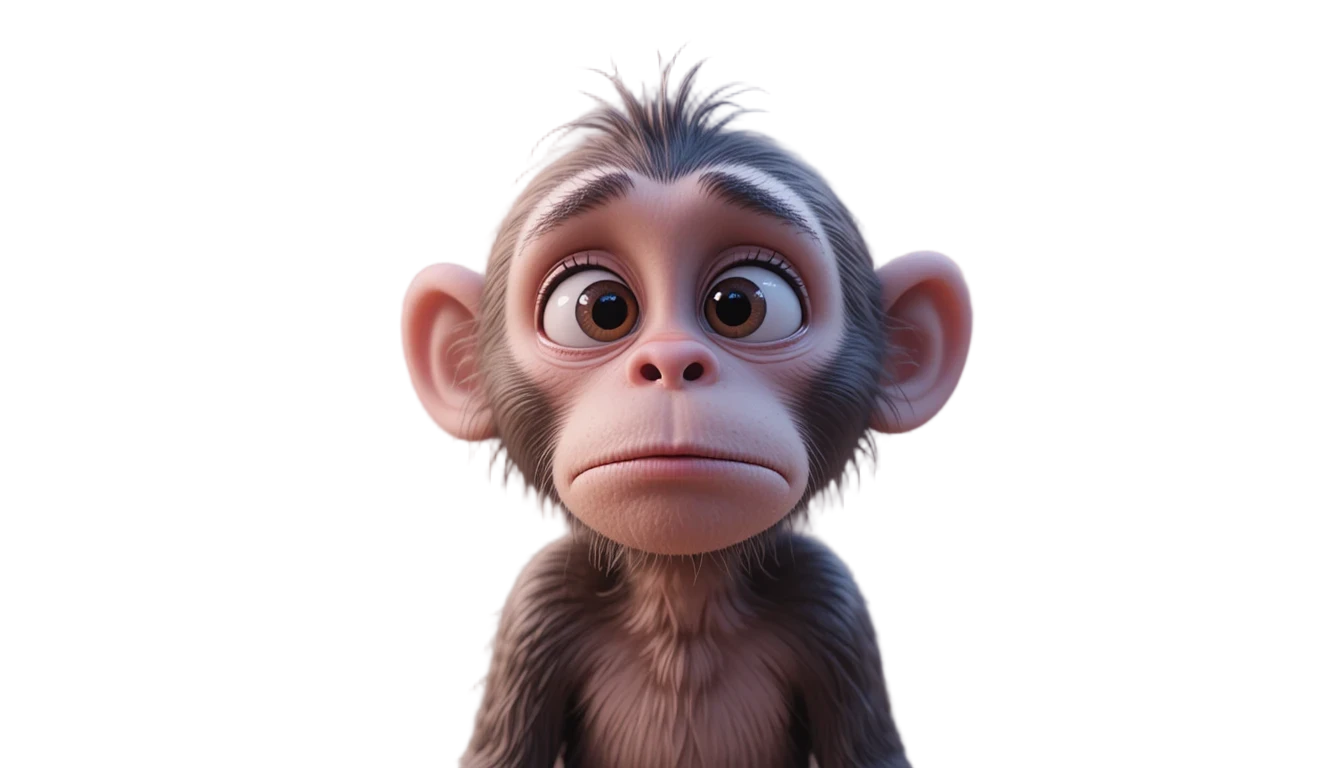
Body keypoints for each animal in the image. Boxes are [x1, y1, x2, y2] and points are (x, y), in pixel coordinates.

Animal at [400, 39, 973, 768]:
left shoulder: (832, 604)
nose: (671, 363)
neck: (682, 596)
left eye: (741, 304)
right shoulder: (536, 606)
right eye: (601, 308)